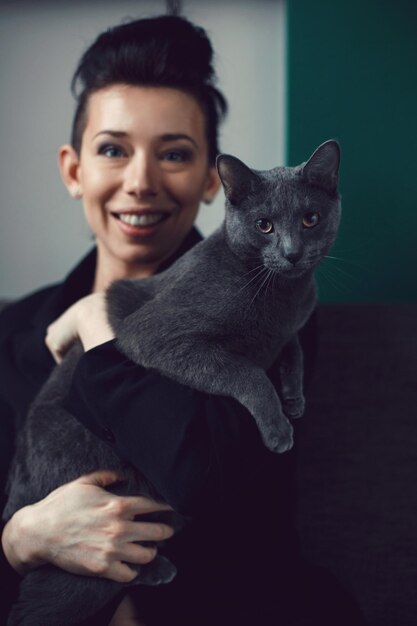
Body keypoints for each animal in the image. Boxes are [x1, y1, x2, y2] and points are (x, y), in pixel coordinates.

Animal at [3, 141, 340, 624]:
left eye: (311, 218)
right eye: (265, 225)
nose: (293, 253)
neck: (281, 295)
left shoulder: (289, 327)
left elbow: (289, 345)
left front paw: (294, 398)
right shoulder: (156, 338)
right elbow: (246, 370)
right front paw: (278, 429)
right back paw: (155, 569)